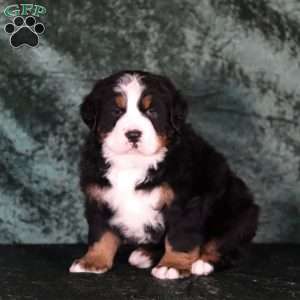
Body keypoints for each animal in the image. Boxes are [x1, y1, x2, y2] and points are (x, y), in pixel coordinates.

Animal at [69, 70, 258, 278]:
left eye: (151, 111)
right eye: (116, 111)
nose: (133, 134)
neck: (132, 163)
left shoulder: (185, 201)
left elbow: (179, 237)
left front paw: (172, 265)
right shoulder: (99, 197)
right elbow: (100, 234)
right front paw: (92, 261)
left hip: (238, 214)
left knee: (227, 247)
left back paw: (204, 262)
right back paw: (145, 254)